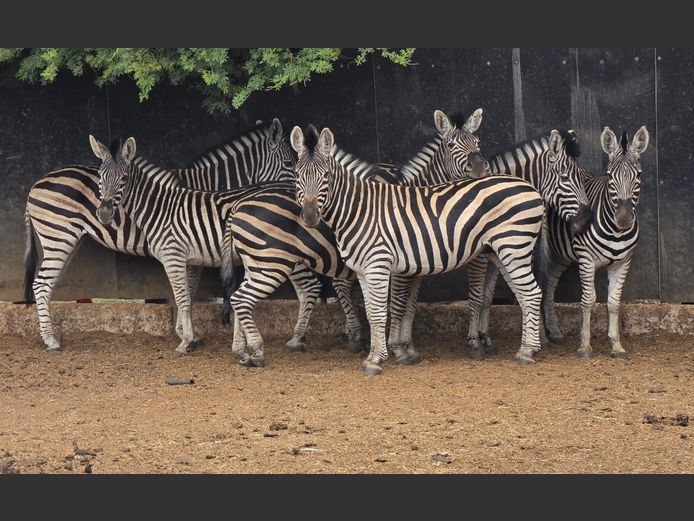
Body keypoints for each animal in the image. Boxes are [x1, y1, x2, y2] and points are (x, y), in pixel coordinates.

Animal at [22, 120, 317, 352]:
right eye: (289, 162)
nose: (300, 203)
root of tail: (36, 183)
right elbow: (185, 294)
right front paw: (186, 335)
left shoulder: (192, 253)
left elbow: (188, 292)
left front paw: (185, 334)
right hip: (59, 236)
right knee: (42, 284)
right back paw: (50, 340)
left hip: (65, 240)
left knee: (47, 284)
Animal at [291, 124, 546, 375]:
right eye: (297, 176)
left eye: (326, 176)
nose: (310, 216)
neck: (359, 211)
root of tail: (530, 187)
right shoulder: (364, 270)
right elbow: (373, 314)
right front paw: (375, 356)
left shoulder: (379, 265)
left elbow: (382, 312)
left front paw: (378, 359)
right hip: (501, 252)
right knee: (524, 296)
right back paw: (524, 349)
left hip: (514, 247)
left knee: (532, 293)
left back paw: (528, 351)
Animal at [541, 126, 649, 358]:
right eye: (609, 176)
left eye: (638, 175)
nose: (624, 218)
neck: (616, 232)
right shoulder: (586, 260)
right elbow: (588, 300)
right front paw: (584, 345)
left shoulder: (622, 263)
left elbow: (614, 302)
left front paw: (616, 345)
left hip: (560, 256)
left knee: (550, 284)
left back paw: (554, 332)